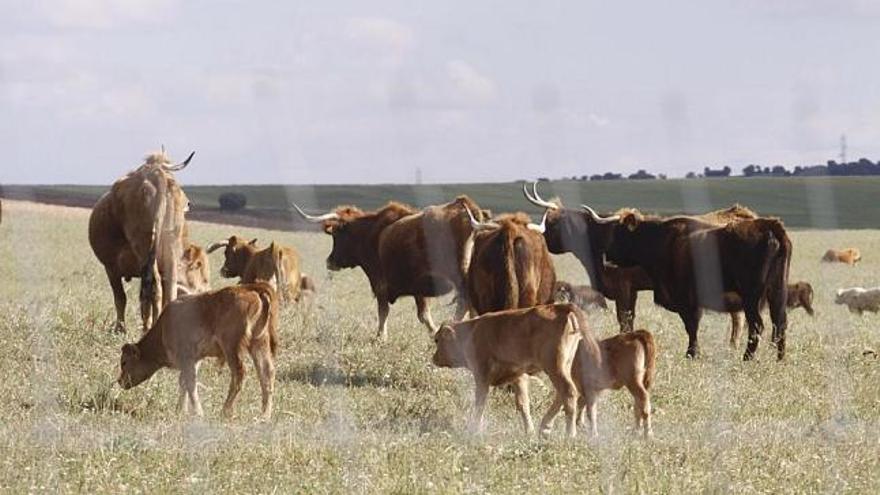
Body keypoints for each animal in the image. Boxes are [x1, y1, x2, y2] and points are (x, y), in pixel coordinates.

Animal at [89, 149, 194, 332]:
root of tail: (157, 174)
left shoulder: (111, 268)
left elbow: (120, 298)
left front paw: (120, 328)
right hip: (170, 249)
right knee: (168, 288)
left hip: (144, 248)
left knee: (153, 287)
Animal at [117, 282, 279, 419]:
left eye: (124, 362)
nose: (120, 381)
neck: (164, 328)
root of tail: (250, 290)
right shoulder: (194, 360)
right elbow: (184, 382)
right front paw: (180, 410)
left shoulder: (187, 358)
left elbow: (190, 383)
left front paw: (198, 412)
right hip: (259, 343)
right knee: (267, 373)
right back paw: (264, 415)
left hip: (232, 348)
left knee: (239, 374)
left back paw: (225, 411)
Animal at [294, 196, 484, 338]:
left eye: (336, 234)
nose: (330, 261)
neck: (371, 233)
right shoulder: (419, 289)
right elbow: (423, 315)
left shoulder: (380, 283)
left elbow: (384, 311)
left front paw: (381, 336)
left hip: (458, 275)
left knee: (464, 302)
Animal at [431, 304, 589, 437]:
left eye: (437, 339)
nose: (434, 358)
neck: (471, 332)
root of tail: (562, 307)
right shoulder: (518, 376)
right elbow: (523, 403)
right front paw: (529, 431)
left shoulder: (482, 375)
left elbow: (480, 402)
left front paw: (474, 429)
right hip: (563, 366)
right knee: (561, 394)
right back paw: (545, 427)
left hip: (554, 367)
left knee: (568, 391)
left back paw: (569, 434)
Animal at [523, 184, 791, 360]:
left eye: (555, 223)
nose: (544, 238)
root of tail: (768, 224)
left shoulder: (647, 291)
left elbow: (680, 324)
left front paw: (691, 354)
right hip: (777, 290)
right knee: (778, 322)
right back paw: (778, 358)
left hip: (752, 294)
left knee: (756, 325)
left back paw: (747, 357)